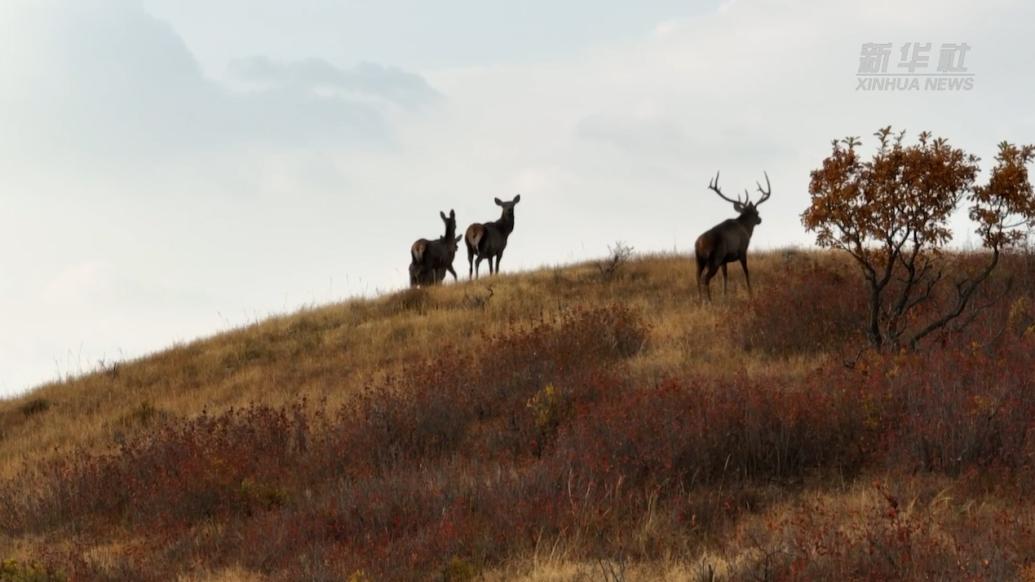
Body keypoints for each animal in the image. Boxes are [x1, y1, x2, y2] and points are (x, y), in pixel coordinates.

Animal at [691, 169, 774, 298]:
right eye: (757, 212)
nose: (760, 220)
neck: (746, 229)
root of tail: (699, 244)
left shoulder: (724, 260)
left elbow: (725, 276)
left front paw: (724, 295)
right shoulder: (742, 250)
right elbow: (746, 272)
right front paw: (750, 293)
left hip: (699, 259)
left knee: (697, 277)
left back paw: (700, 300)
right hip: (715, 258)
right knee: (706, 278)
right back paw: (709, 300)